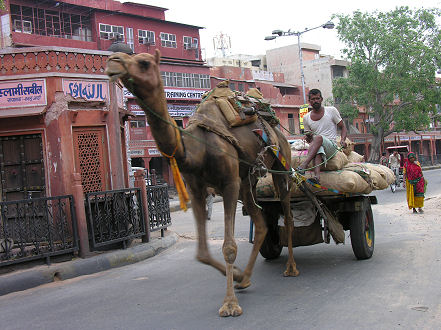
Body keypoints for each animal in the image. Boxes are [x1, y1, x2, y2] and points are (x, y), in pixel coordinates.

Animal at [105, 50, 300, 316]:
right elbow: (201, 254)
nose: (113, 61)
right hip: (247, 180)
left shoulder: (228, 184)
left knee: (288, 217)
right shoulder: (197, 189)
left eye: (143, 62)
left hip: (281, 165)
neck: (197, 150)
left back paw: (291, 268)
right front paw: (236, 275)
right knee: (261, 224)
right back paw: (246, 279)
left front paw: (230, 304)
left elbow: (229, 247)